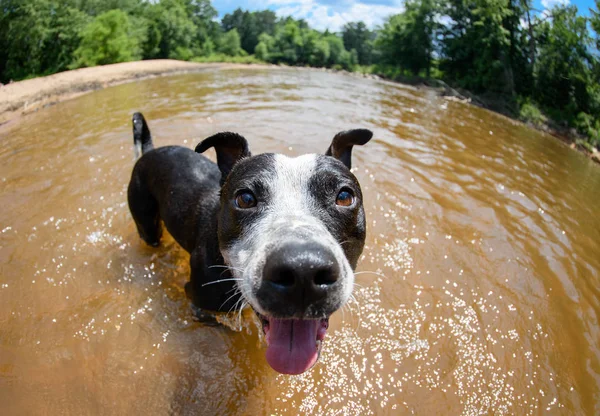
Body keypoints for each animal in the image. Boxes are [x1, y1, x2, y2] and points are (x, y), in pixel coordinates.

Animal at [126, 112, 370, 376]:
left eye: (344, 196)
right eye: (245, 198)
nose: (303, 270)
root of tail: (150, 151)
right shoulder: (202, 307)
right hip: (147, 224)